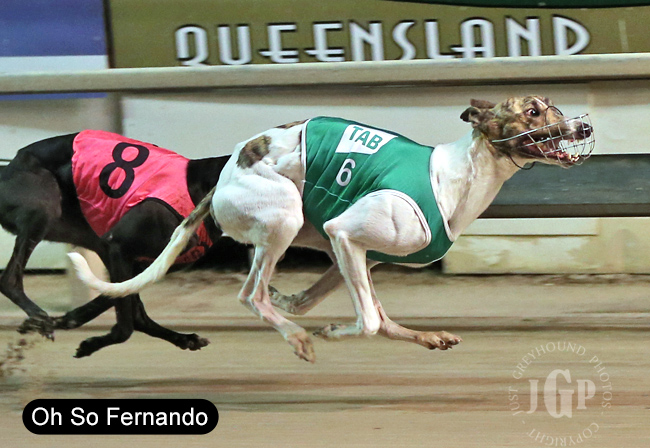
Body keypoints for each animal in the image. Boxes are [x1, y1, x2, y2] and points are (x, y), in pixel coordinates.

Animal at [0, 130, 227, 357]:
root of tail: (9, 165)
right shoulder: (118, 246)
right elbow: (124, 324)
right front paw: (77, 334)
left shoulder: (139, 261)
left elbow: (117, 298)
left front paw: (68, 323)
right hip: (44, 209)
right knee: (9, 280)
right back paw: (40, 316)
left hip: (91, 236)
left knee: (137, 313)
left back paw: (184, 338)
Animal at [69, 96, 594, 363]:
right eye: (532, 112)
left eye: (552, 106)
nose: (585, 130)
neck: (457, 176)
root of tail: (225, 174)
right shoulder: (345, 232)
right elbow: (368, 321)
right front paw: (328, 332)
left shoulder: (357, 251)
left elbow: (348, 308)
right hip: (285, 217)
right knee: (249, 295)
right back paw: (296, 336)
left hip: (309, 230)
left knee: (287, 294)